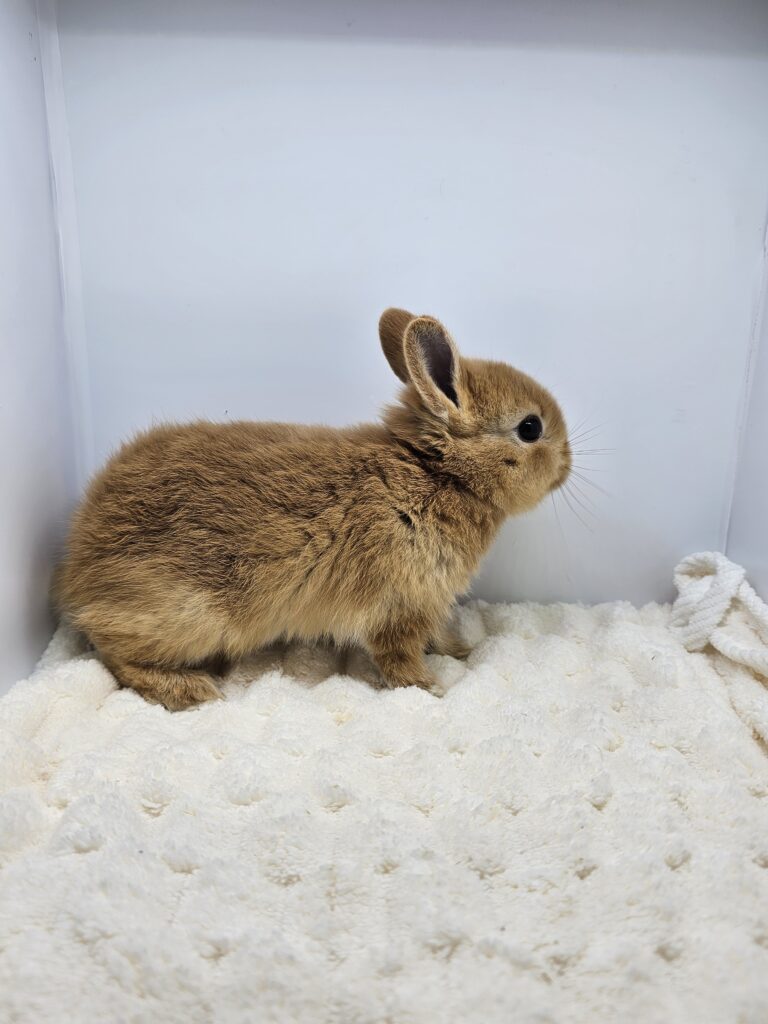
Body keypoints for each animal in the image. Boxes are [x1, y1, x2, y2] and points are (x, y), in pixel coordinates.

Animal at [53, 308, 571, 709]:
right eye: (530, 428)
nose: (567, 463)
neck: (438, 472)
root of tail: (76, 573)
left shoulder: (430, 601)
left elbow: (437, 635)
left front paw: (460, 650)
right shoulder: (398, 605)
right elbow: (399, 658)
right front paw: (431, 689)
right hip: (189, 618)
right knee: (113, 656)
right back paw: (189, 690)